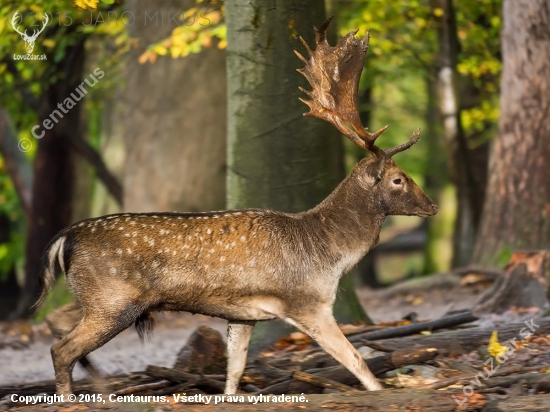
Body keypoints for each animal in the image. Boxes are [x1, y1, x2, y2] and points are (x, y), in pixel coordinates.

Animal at [40, 16, 440, 396]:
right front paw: (382, 389)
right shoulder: (307, 302)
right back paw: (73, 398)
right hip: (113, 300)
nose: (433, 206)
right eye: (398, 179)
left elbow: (235, 370)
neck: (329, 255)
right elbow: (354, 359)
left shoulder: (243, 315)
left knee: (55, 322)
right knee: (61, 348)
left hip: (93, 296)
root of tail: (65, 238)